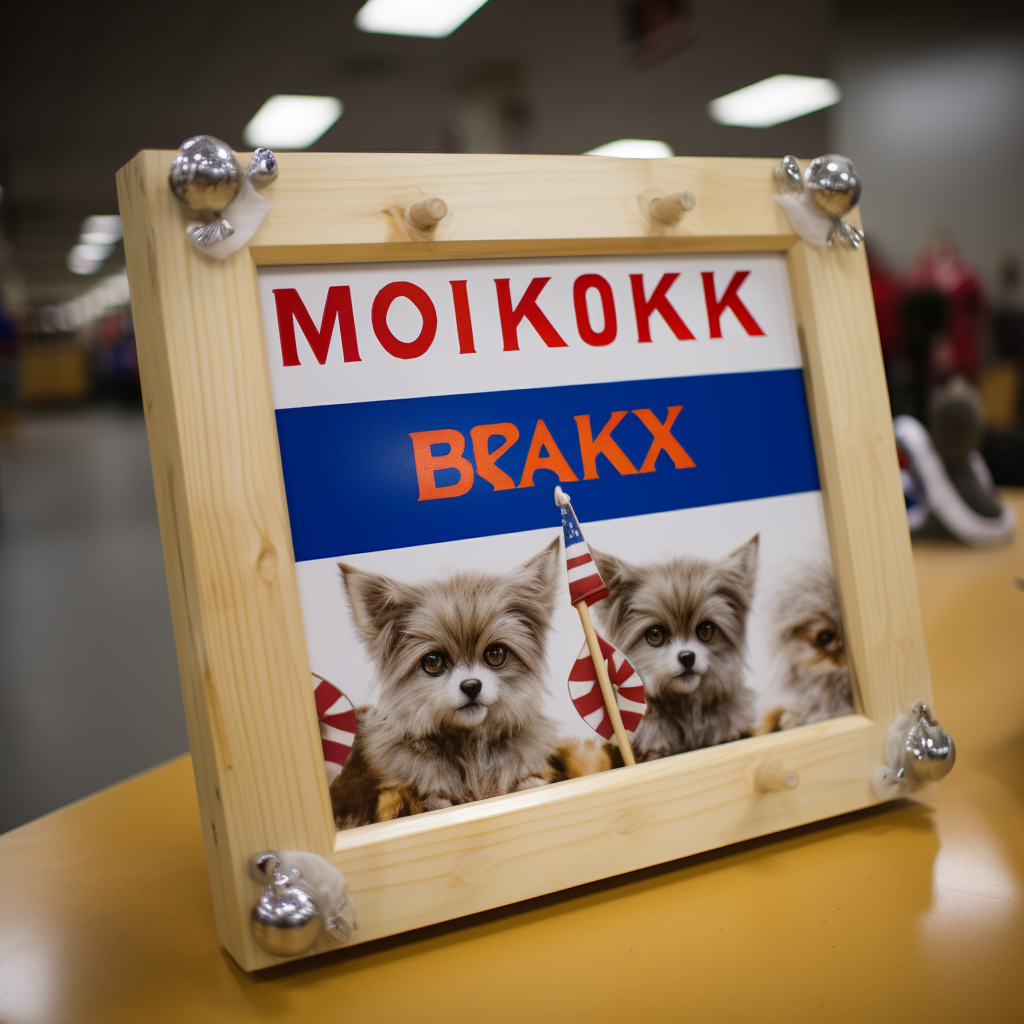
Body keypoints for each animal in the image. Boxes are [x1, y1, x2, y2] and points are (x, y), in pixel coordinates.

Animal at [331, 540, 610, 827]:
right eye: (433, 661)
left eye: (495, 653)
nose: (471, 685)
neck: (472, 752)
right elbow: (426, 801)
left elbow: (531, 783)